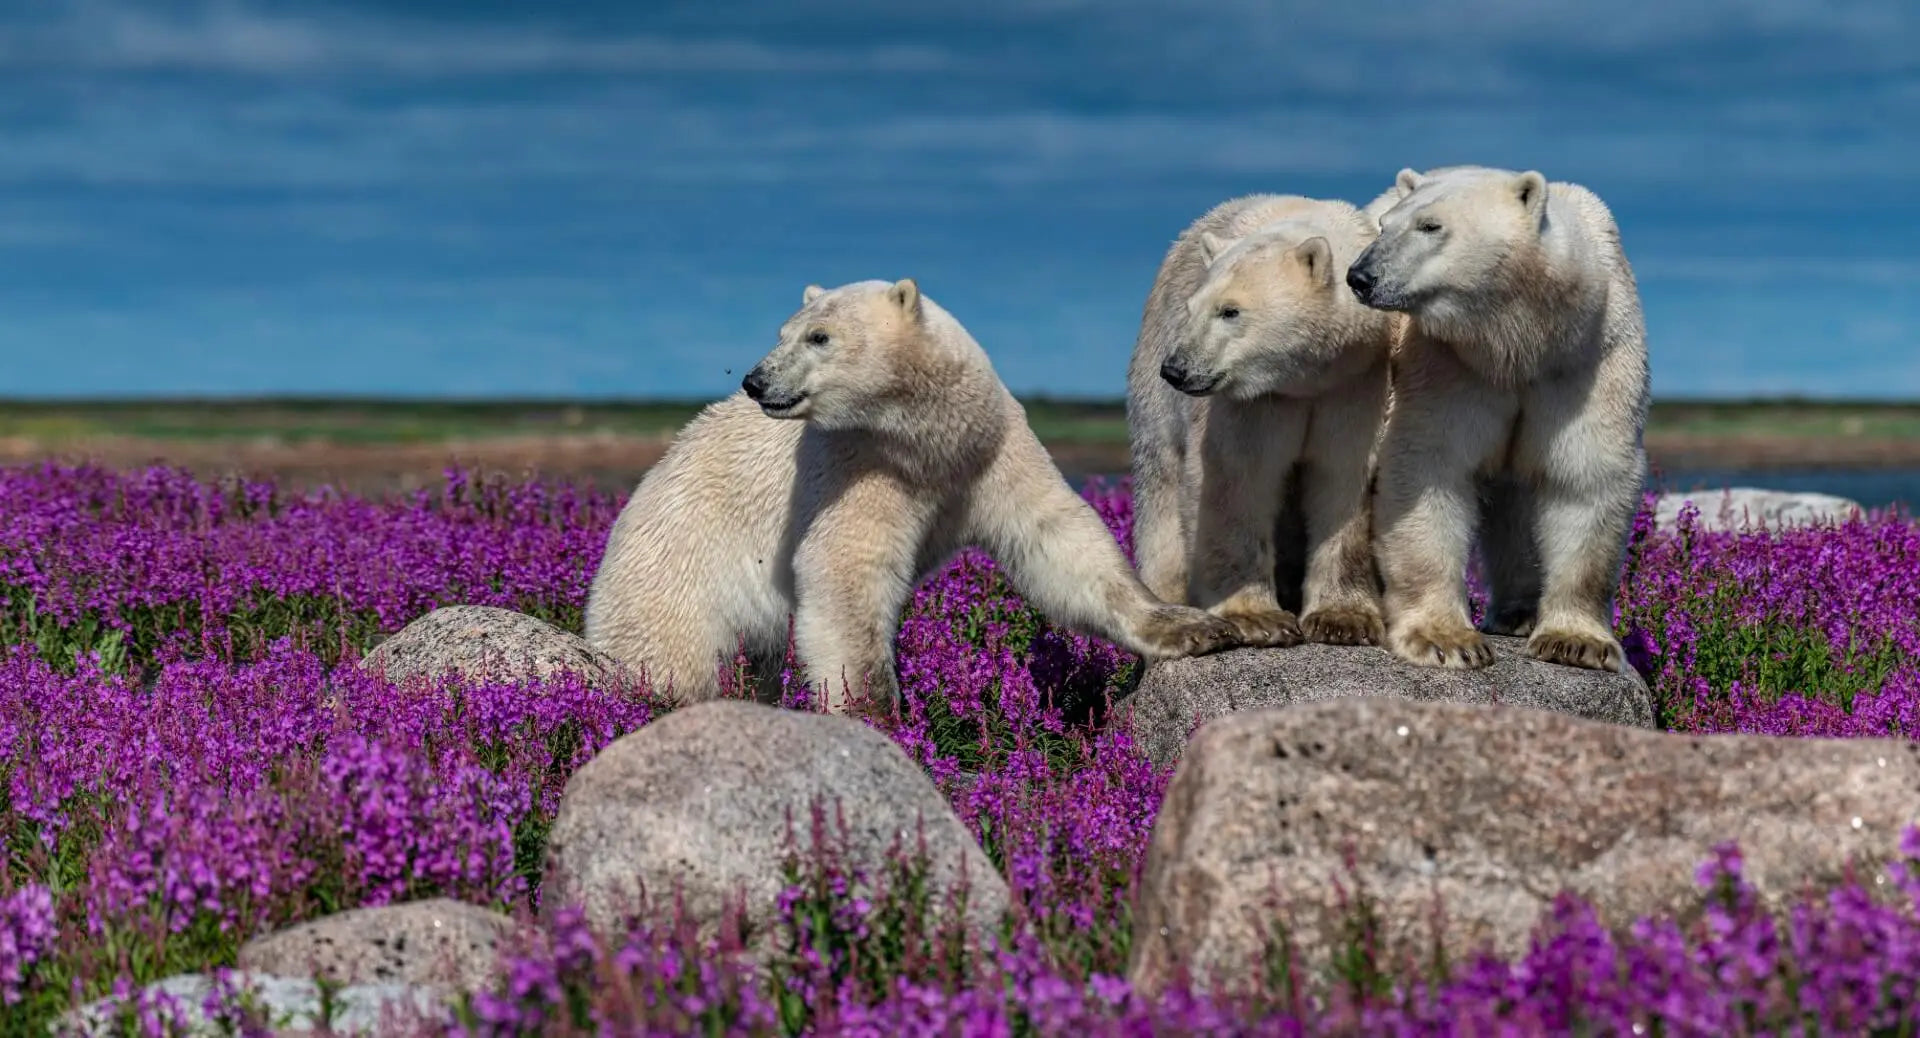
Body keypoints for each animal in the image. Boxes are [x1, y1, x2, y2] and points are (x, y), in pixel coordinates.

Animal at [584, 278, 1243, 713]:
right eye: (784, 332)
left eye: (818, 335)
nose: (755, 380)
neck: (931, 443)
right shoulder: (860, 465)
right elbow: (843, 573)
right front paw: (876, 715)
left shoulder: (993, 451)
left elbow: (1061, 545)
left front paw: (1197, 628)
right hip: (679, 583)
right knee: (678, 664)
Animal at [1125, 195, 1397, 648]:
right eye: (1192, 309)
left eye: (1230, 311)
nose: (1176, 369)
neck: (1308, 379)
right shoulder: (1254, 401)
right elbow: (1237, 480)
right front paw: (1257, 618)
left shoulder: (1359, 383)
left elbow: (1345, 479)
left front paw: (1345, 619)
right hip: (1151, 387)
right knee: (1160, 483)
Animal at [1345, 165, 1650, 672]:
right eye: (1385, 226)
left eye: (1430, 225)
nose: (1360, 276)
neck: (1520, 344)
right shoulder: (1442, 364)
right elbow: (1427, 467)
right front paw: (1446, 639)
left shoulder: (1589, 360)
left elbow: (1585, 475)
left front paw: (1576, 642)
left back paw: (1519, 612)